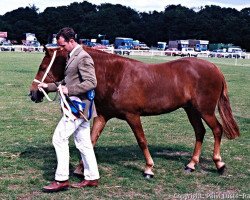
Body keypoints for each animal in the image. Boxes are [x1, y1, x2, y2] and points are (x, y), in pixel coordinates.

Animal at [29, 46, 238, 177]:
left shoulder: (133, 116)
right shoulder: (103, 116)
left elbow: (142, 141)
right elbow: (92, 140)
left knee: (217, 130)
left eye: (42, 66)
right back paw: (191, 165)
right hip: (191, 110)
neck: (115, 75)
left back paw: (219, 164)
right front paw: (81, 169)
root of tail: (215, 68)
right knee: (200, 132)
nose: (33, 93)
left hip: (205, 110)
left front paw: (149, 169)